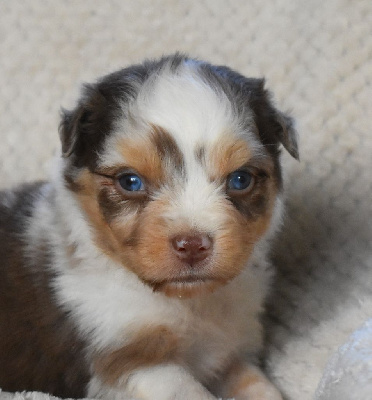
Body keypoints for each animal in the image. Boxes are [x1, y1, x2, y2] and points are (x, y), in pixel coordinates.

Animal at [0, 54, 298, 400]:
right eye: (130, 181)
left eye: (240, 179)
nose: (192, 245)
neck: (187, 302)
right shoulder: (133, 363)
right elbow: (192, 393)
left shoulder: (228, 353)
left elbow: (261, 388)